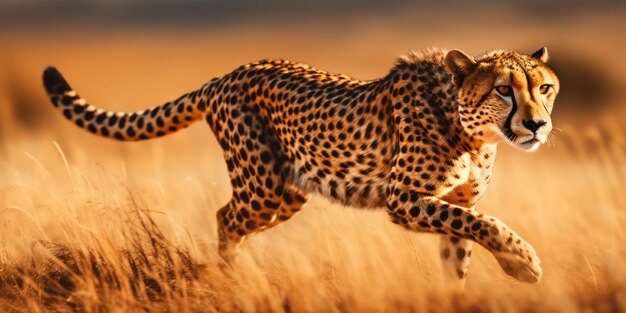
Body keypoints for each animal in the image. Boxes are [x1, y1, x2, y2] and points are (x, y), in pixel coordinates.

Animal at [41, 46, 556, 282]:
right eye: (503, 89)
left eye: (545, 88)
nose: (537, 125)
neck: (472, 134)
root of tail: (227, 75)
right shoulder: (403, 198)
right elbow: (486, 223)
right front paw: (524, 262)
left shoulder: (454, 202)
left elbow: (462, 243)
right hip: (261, 186)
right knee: (224, 217)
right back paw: (232, 279)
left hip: (285, 194)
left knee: (233, 218)